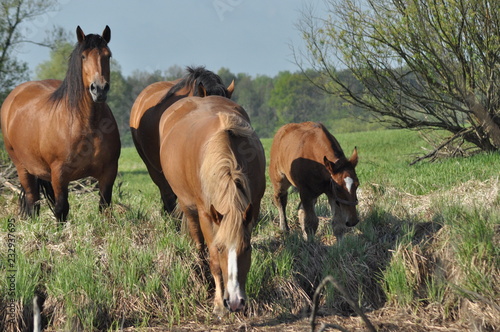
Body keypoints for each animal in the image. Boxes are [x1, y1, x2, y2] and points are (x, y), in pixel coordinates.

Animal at [0, 27, 121, 222]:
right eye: (83, 56)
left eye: (107, 55)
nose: (99, 89)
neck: (88, 124)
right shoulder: (59, 175)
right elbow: (61, 209)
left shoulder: (109, 172)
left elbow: (104, 207)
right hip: (22, 167)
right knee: (33, 201)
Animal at [159, 94, 266, 316]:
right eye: (221, 248)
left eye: (247, 248)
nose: (235, 302)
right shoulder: (207, 216)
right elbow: (214, 261)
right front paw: (218, 304)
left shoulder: (252, 209)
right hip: (188, 207)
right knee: (198, 243)